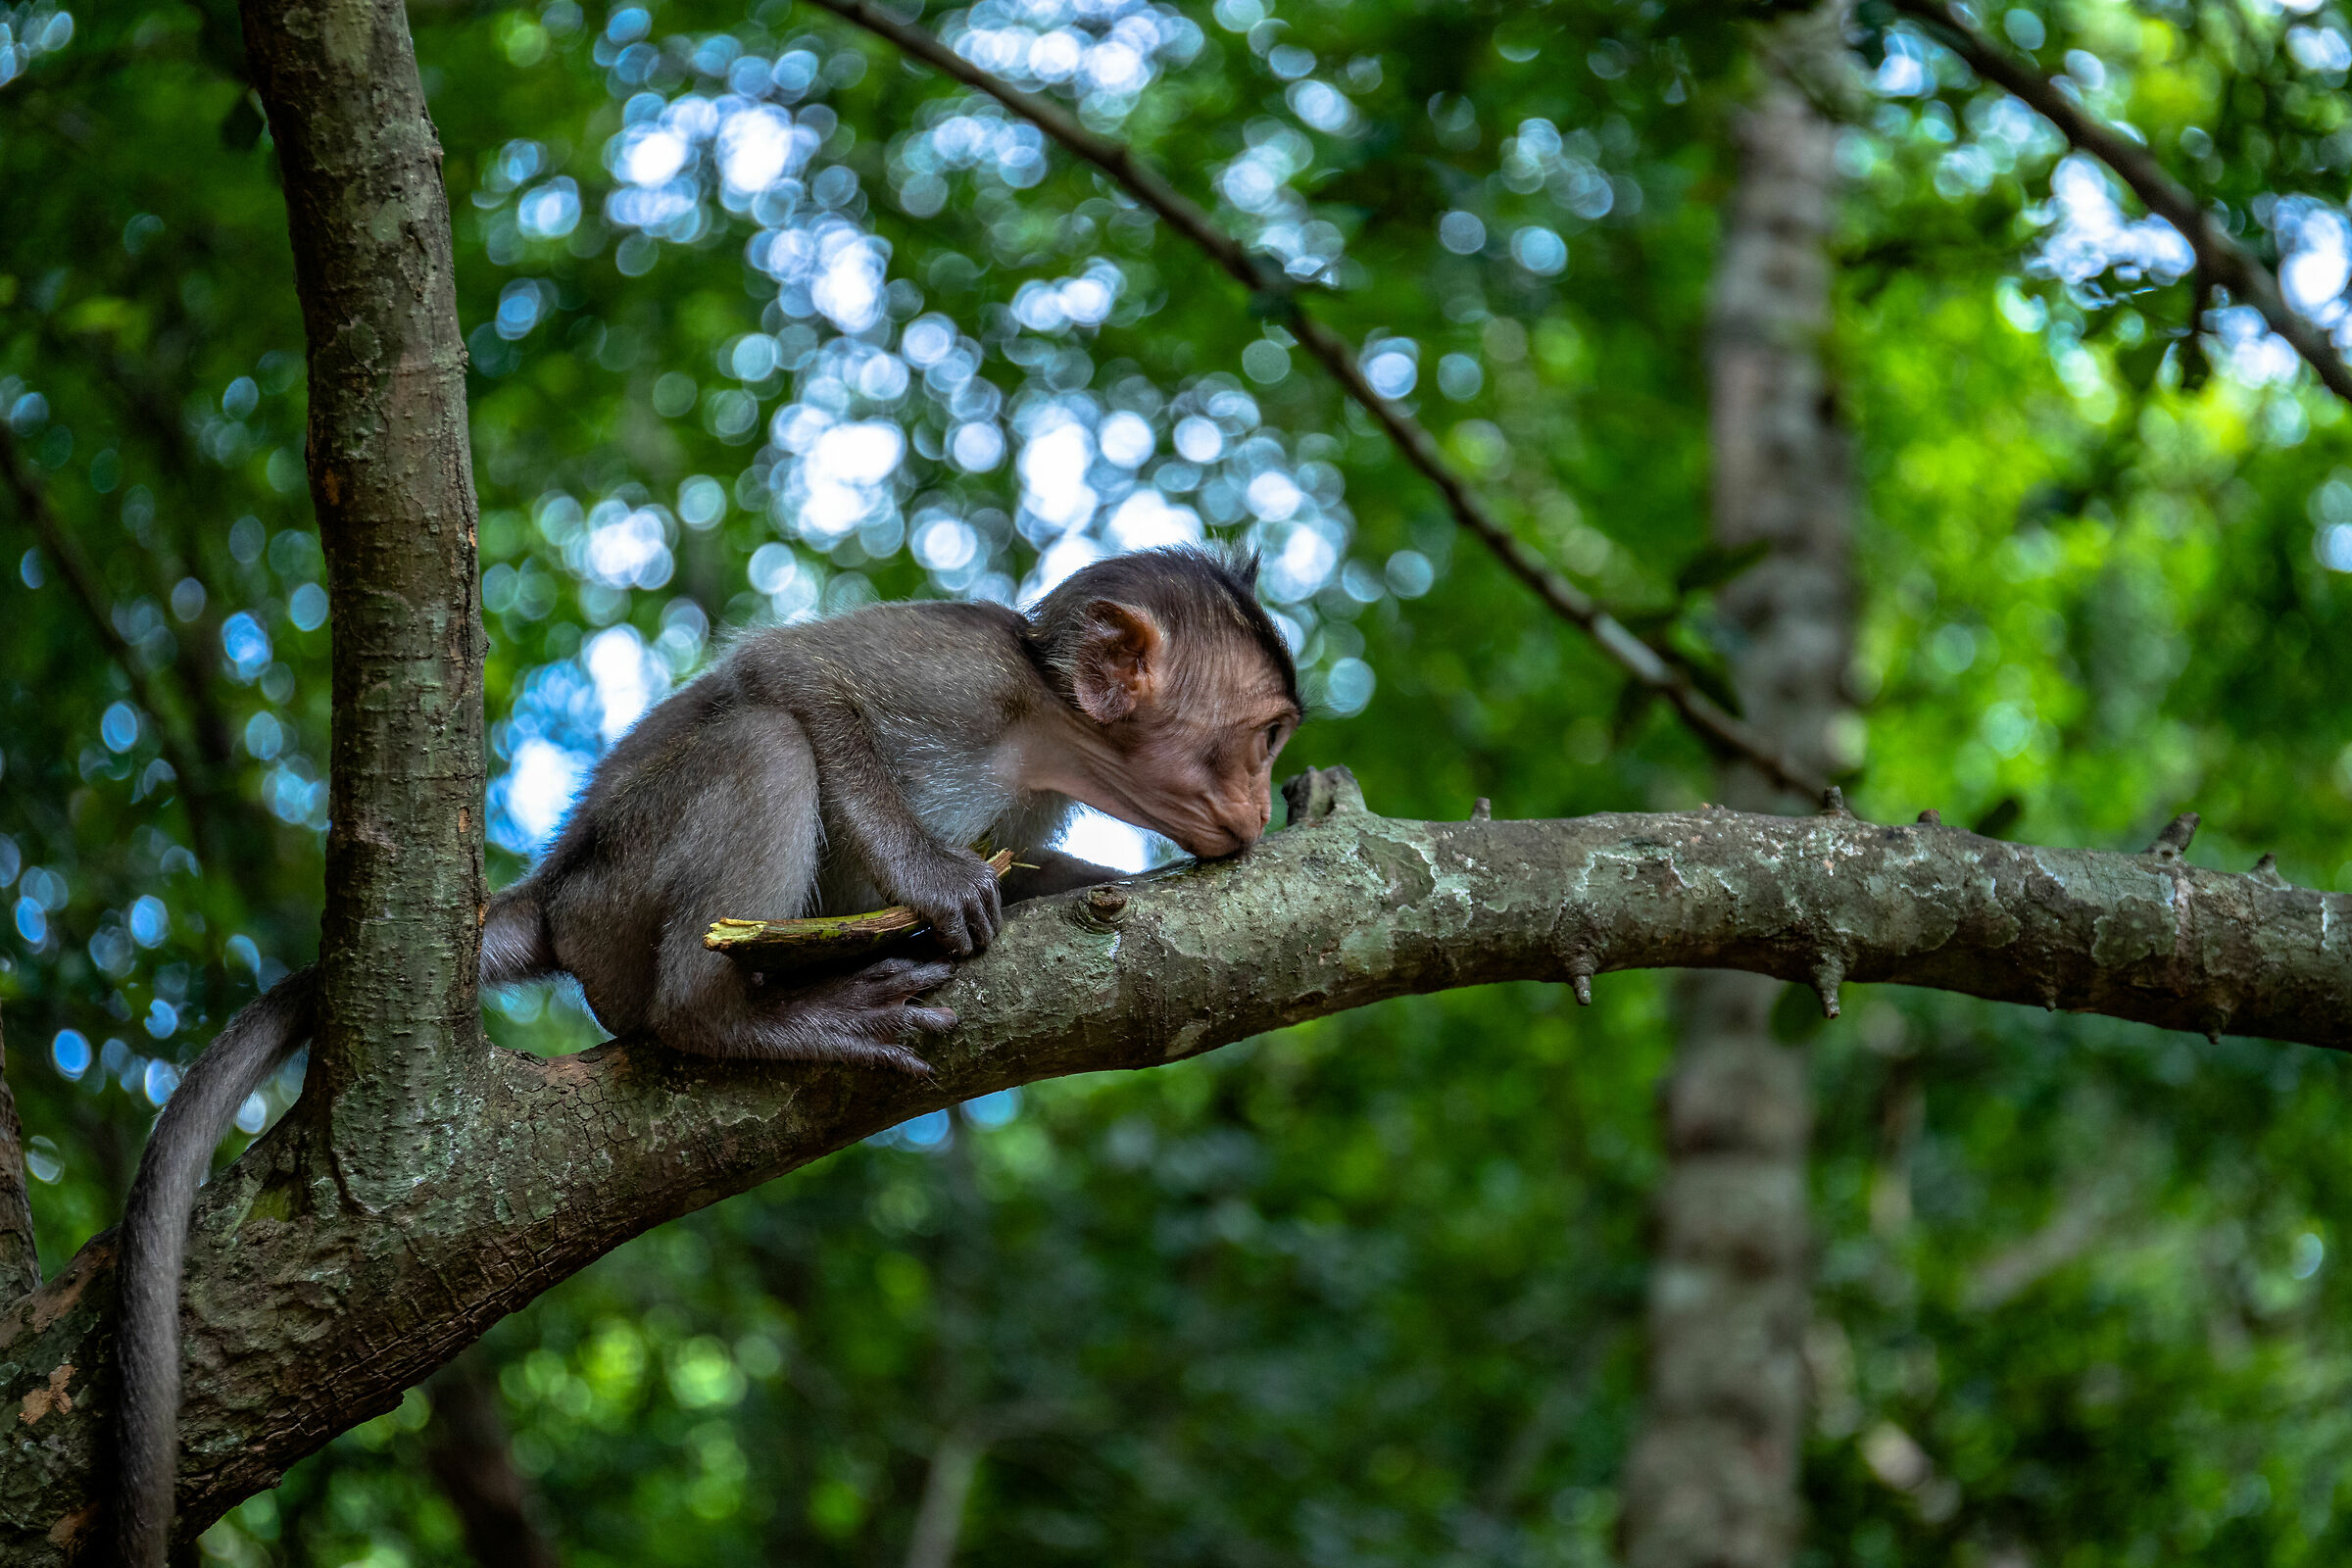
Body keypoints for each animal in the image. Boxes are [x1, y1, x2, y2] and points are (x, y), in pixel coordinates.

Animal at [108, 545, 1301, 1567]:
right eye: (1264, 736)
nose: (1257, 810)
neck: (1046, 737)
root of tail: (556, 893)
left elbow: (1036, 870)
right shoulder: (963, 668)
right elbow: (790, 672)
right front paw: (931, 872)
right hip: (624, 888)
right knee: (762, 740)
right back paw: (732, 1011)